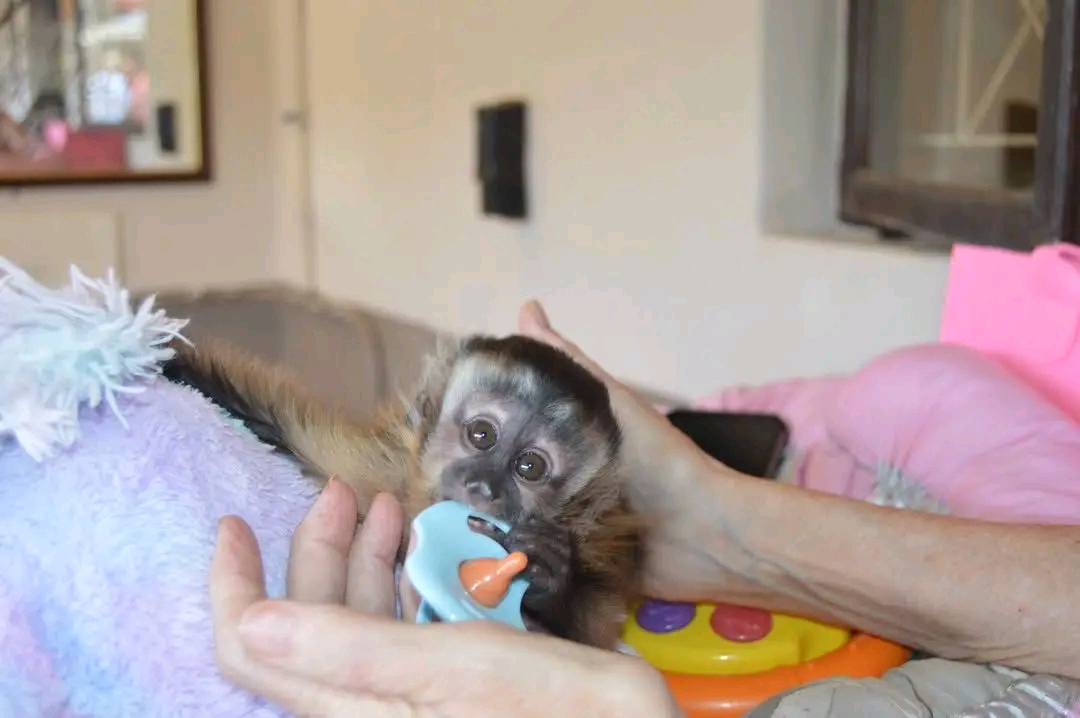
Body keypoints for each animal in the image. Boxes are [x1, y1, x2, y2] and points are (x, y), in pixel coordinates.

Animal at [161, 333, 647, 649]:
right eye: (482, 435)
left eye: (530, 466)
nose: (484, 486)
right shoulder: (376, 473)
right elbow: (277, 426)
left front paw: (548, 571)